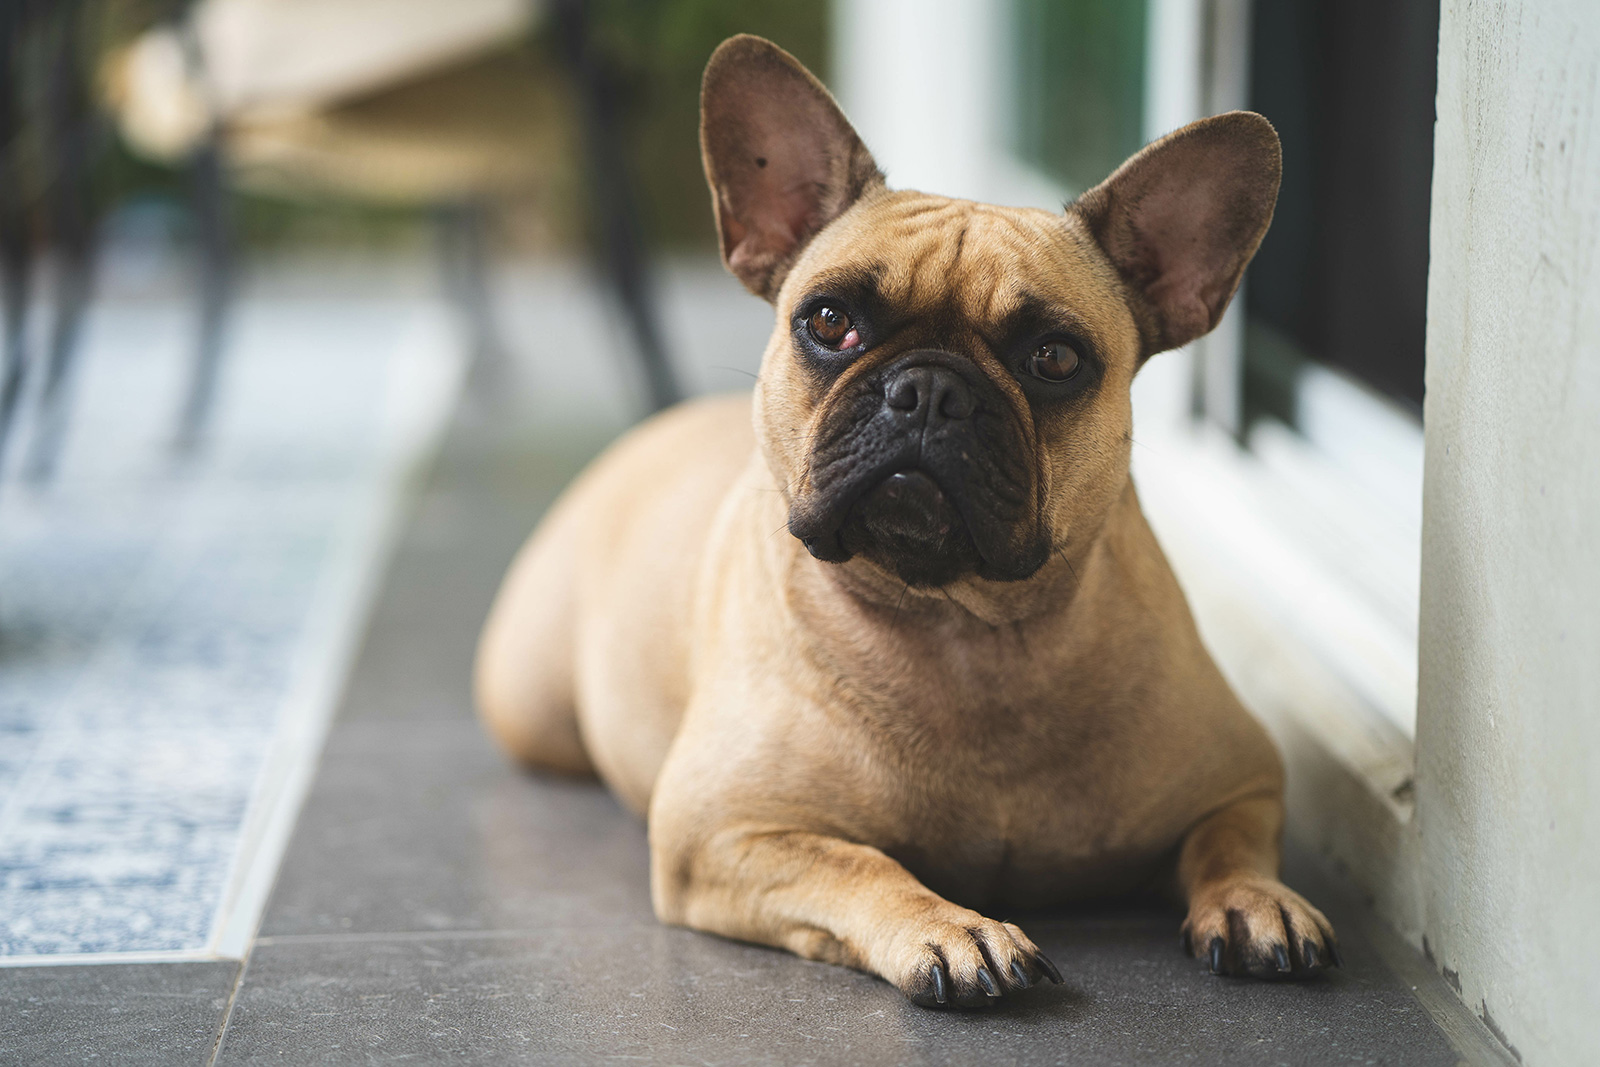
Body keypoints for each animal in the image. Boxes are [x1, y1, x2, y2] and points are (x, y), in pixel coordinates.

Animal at [473, 35, 1337, 1011]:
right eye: (828, 320)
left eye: (1054, 358)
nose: (929, 388)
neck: (965, 629)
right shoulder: (727, 829)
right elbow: (863, 865)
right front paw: (952, 926)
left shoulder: (1244, 780)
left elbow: (1229, 843)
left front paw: (1258, 899)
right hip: (534, 709)